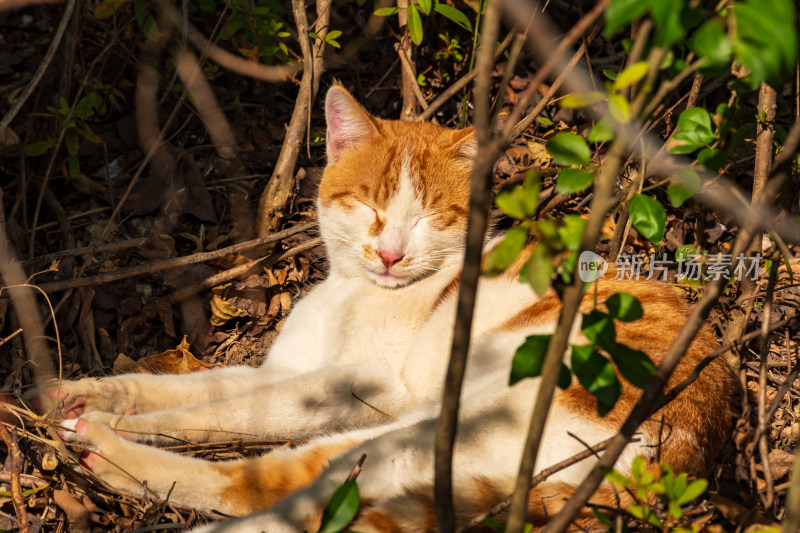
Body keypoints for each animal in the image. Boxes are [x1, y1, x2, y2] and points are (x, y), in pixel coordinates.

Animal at [53, 85, 736, 528]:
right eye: (370, 205)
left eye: (430, 216)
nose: (389, 253)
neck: (352, 290)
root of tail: (674, 468)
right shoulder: (285, 369)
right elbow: (188, 387)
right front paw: (87, 393)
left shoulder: (360, 387)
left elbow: (225, 412)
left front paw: (114, 420)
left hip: (426, 431)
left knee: (270, 487)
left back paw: (107, 448)